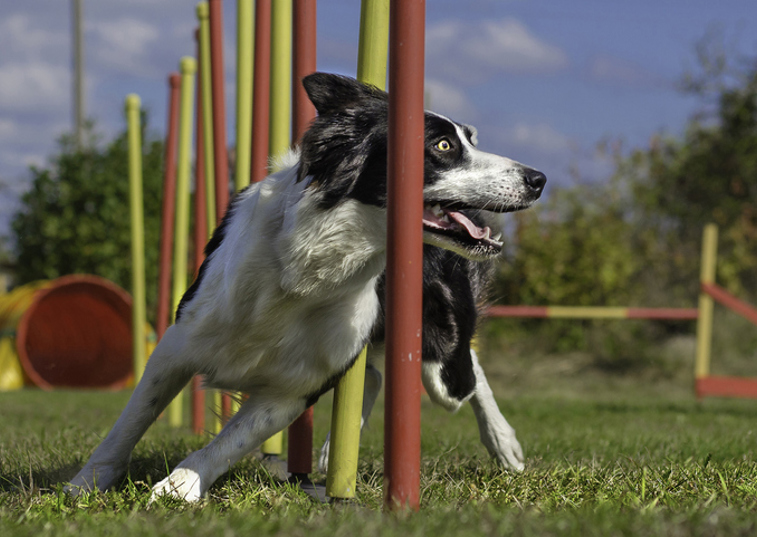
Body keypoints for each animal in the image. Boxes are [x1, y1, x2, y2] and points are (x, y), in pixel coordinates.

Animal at [68, 73, 544, 500]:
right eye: (443, 146)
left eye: (470, 139)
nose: (538, 179)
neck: (311, 266)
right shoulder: (179, 341)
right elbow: (130, 420)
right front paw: (85, 484)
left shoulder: (293, 389)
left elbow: (226, 444)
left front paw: (179, 487)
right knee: (376, 373)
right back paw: (338, 450)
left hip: (439, 359)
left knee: (467, 371)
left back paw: (504, 443)